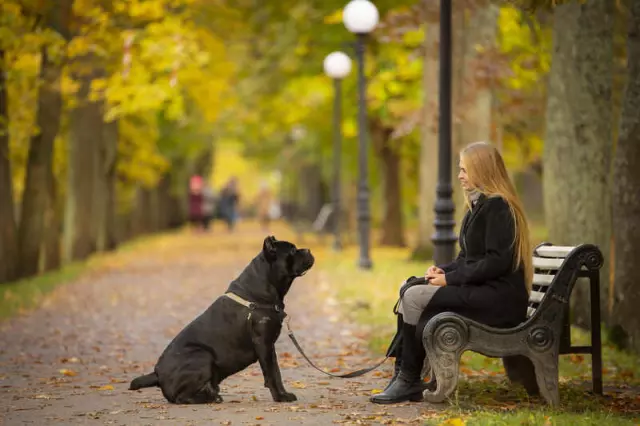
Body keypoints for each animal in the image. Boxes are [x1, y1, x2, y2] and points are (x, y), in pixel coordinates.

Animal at [129, 235, 314, 404]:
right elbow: (272, 373)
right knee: (181, 398)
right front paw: (280, 397)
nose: (308, 250)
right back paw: (210, 398)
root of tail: (157, 374)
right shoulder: (264, 343)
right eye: (292, 250)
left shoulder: (269, 346)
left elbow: (276, 371)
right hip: (202, 356)